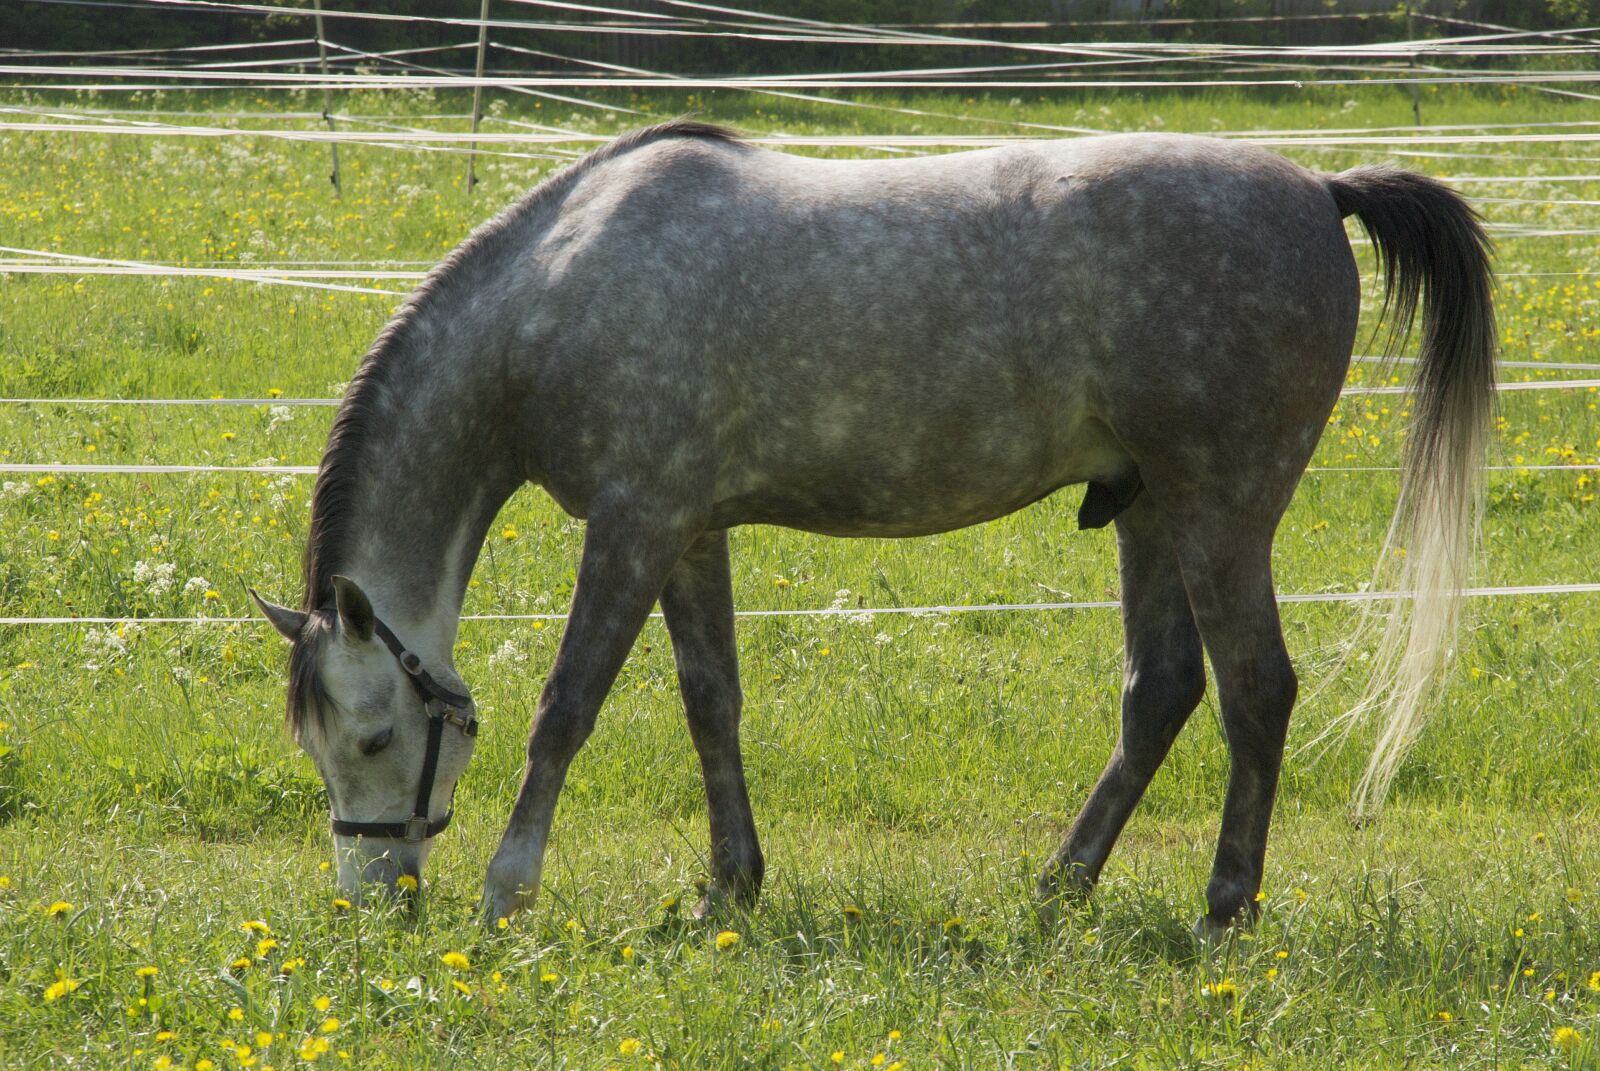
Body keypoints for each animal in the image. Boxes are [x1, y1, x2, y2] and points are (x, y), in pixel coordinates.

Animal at [250, 120, 1494, 934]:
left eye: (373, 739)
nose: (374, 904)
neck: (559, 288)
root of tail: (1318, 186)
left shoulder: (634, 521)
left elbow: (567, 710)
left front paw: (509, 893)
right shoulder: (688, 529)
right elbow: (710, 704)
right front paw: (730, 889)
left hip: (1219, 509)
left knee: (1254, 692)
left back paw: (1221, 913)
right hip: (1148, 510)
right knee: (1162, 694)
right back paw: (1057, 891)